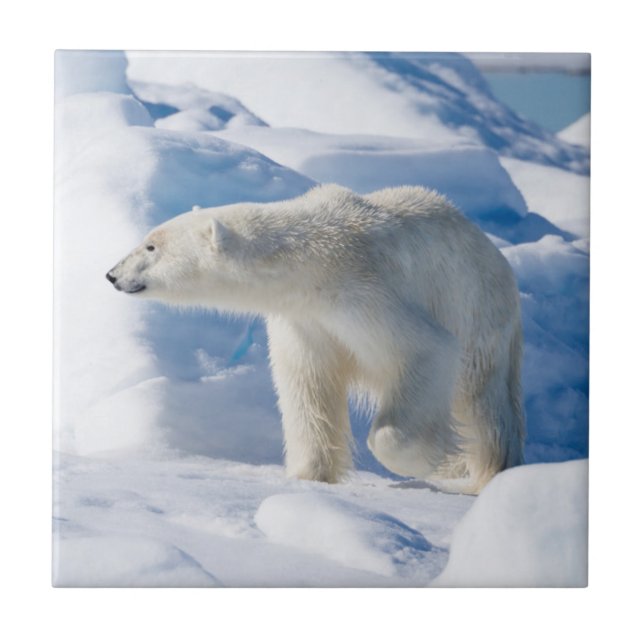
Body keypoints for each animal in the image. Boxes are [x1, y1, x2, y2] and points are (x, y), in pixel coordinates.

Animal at [107, 184, 525, 493]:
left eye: (152, 246)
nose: (112, 274)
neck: (311, 260)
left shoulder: (365, 293)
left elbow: (427, 349)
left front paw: (431, 461)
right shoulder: (305, 321)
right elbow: (308, 386)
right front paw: (308, 475)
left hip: (476, 311)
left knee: (482, 403)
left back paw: (484, 470)